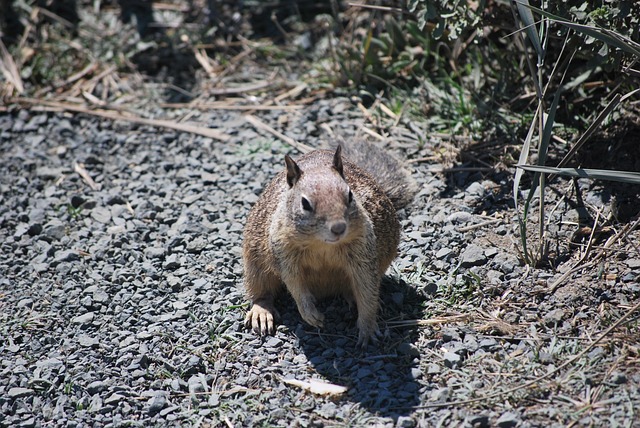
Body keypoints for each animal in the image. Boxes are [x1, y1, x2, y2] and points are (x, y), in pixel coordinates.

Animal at [242, 142, 418, 346]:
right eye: (305, 203)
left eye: (350, 195)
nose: (339, 227)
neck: (321, 244)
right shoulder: (284, 252)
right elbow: (294, 284)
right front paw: (311, 315)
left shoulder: (364, 253)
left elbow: (367, 288)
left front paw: (368, 328)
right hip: (254, 264)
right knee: (261, 292)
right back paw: (261, 313)